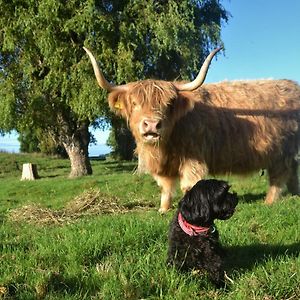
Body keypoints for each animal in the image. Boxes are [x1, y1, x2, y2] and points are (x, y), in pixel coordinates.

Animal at [83, 46, 300, 211]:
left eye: (169, 104)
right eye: (135, 103)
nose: (152, 125)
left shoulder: (193, 158)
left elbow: (189, 185)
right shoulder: (163, 167)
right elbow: (165, 187)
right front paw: (163, 209)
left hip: (282, 152)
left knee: (279, 176)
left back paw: (269, 201)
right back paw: (295, 195)